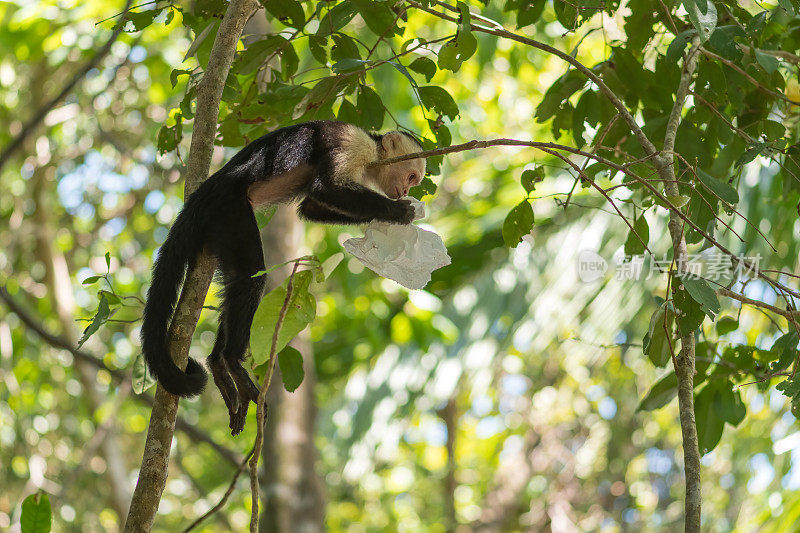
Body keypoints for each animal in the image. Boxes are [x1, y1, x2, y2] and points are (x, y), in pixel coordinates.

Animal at [141, 120, 428, 432]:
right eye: (412, 176)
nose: (404, 190)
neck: (374, 151)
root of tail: (206, 190)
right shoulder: (353, 142)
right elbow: (326, 188)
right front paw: (398, 212)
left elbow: (311, 207)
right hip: (230, 209)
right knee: (251, 278)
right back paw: (232, 361)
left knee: (235, 282)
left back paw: (218, 364)